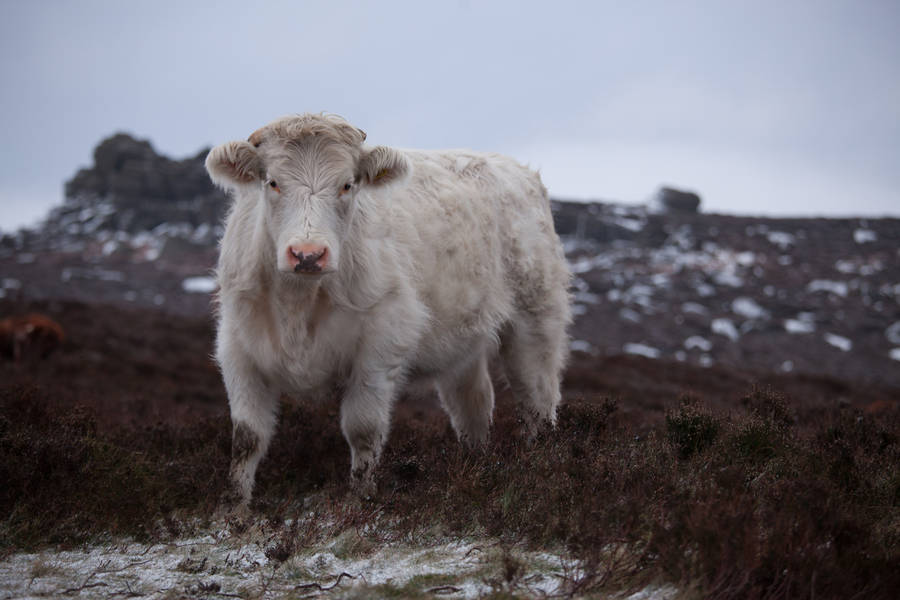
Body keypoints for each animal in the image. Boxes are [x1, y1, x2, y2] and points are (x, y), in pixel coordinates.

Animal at [206, 113, 571, 508]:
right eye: (272, 182)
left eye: (347, 185)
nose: (308, 255)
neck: (298, 305)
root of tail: (516, 169)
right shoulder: (237, 348)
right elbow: (247, 436)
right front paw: (235, 508)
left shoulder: (380, 346)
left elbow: (363, 429)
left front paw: (360, 500)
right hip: (462, 344)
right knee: (473, 405)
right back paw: (475, 467)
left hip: (535, 321)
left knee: (538, 401)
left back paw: (540, 468)